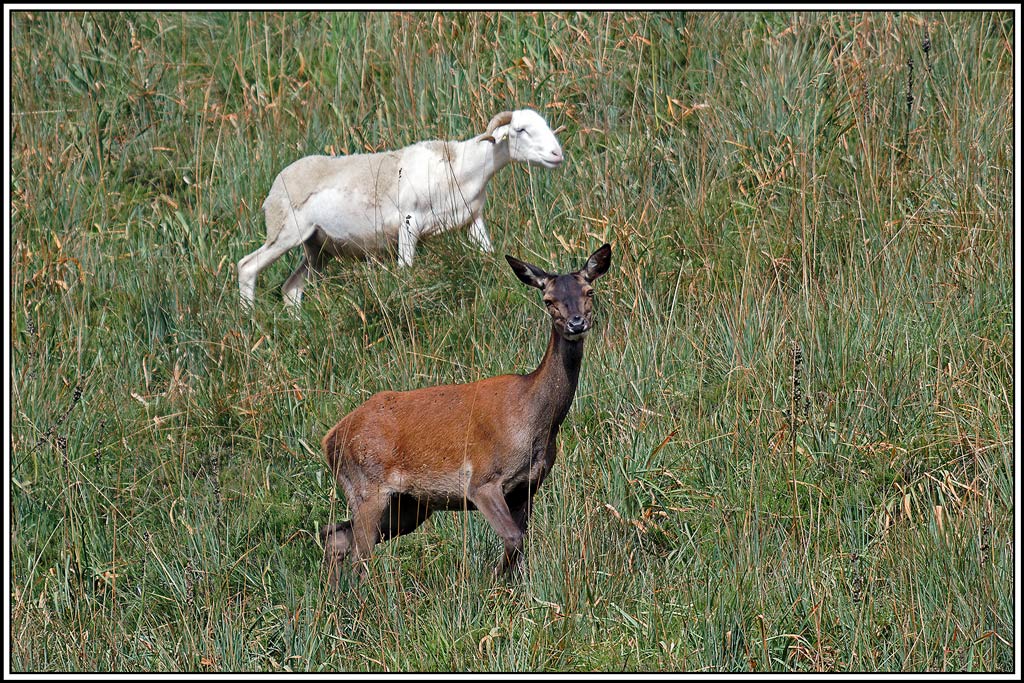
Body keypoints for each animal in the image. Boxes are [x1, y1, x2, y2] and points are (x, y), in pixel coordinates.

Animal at [319, 243, 612, 584]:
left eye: (589, 291)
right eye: (548, 300)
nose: (577, 324)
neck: (535, 422)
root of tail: (330, 438)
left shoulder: (527, 487)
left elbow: (521, 547)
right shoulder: (482, 481)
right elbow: (513, 538)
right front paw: (492, 580)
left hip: (408, 506)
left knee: (336, 536)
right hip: (368, 486)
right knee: (358, 554)